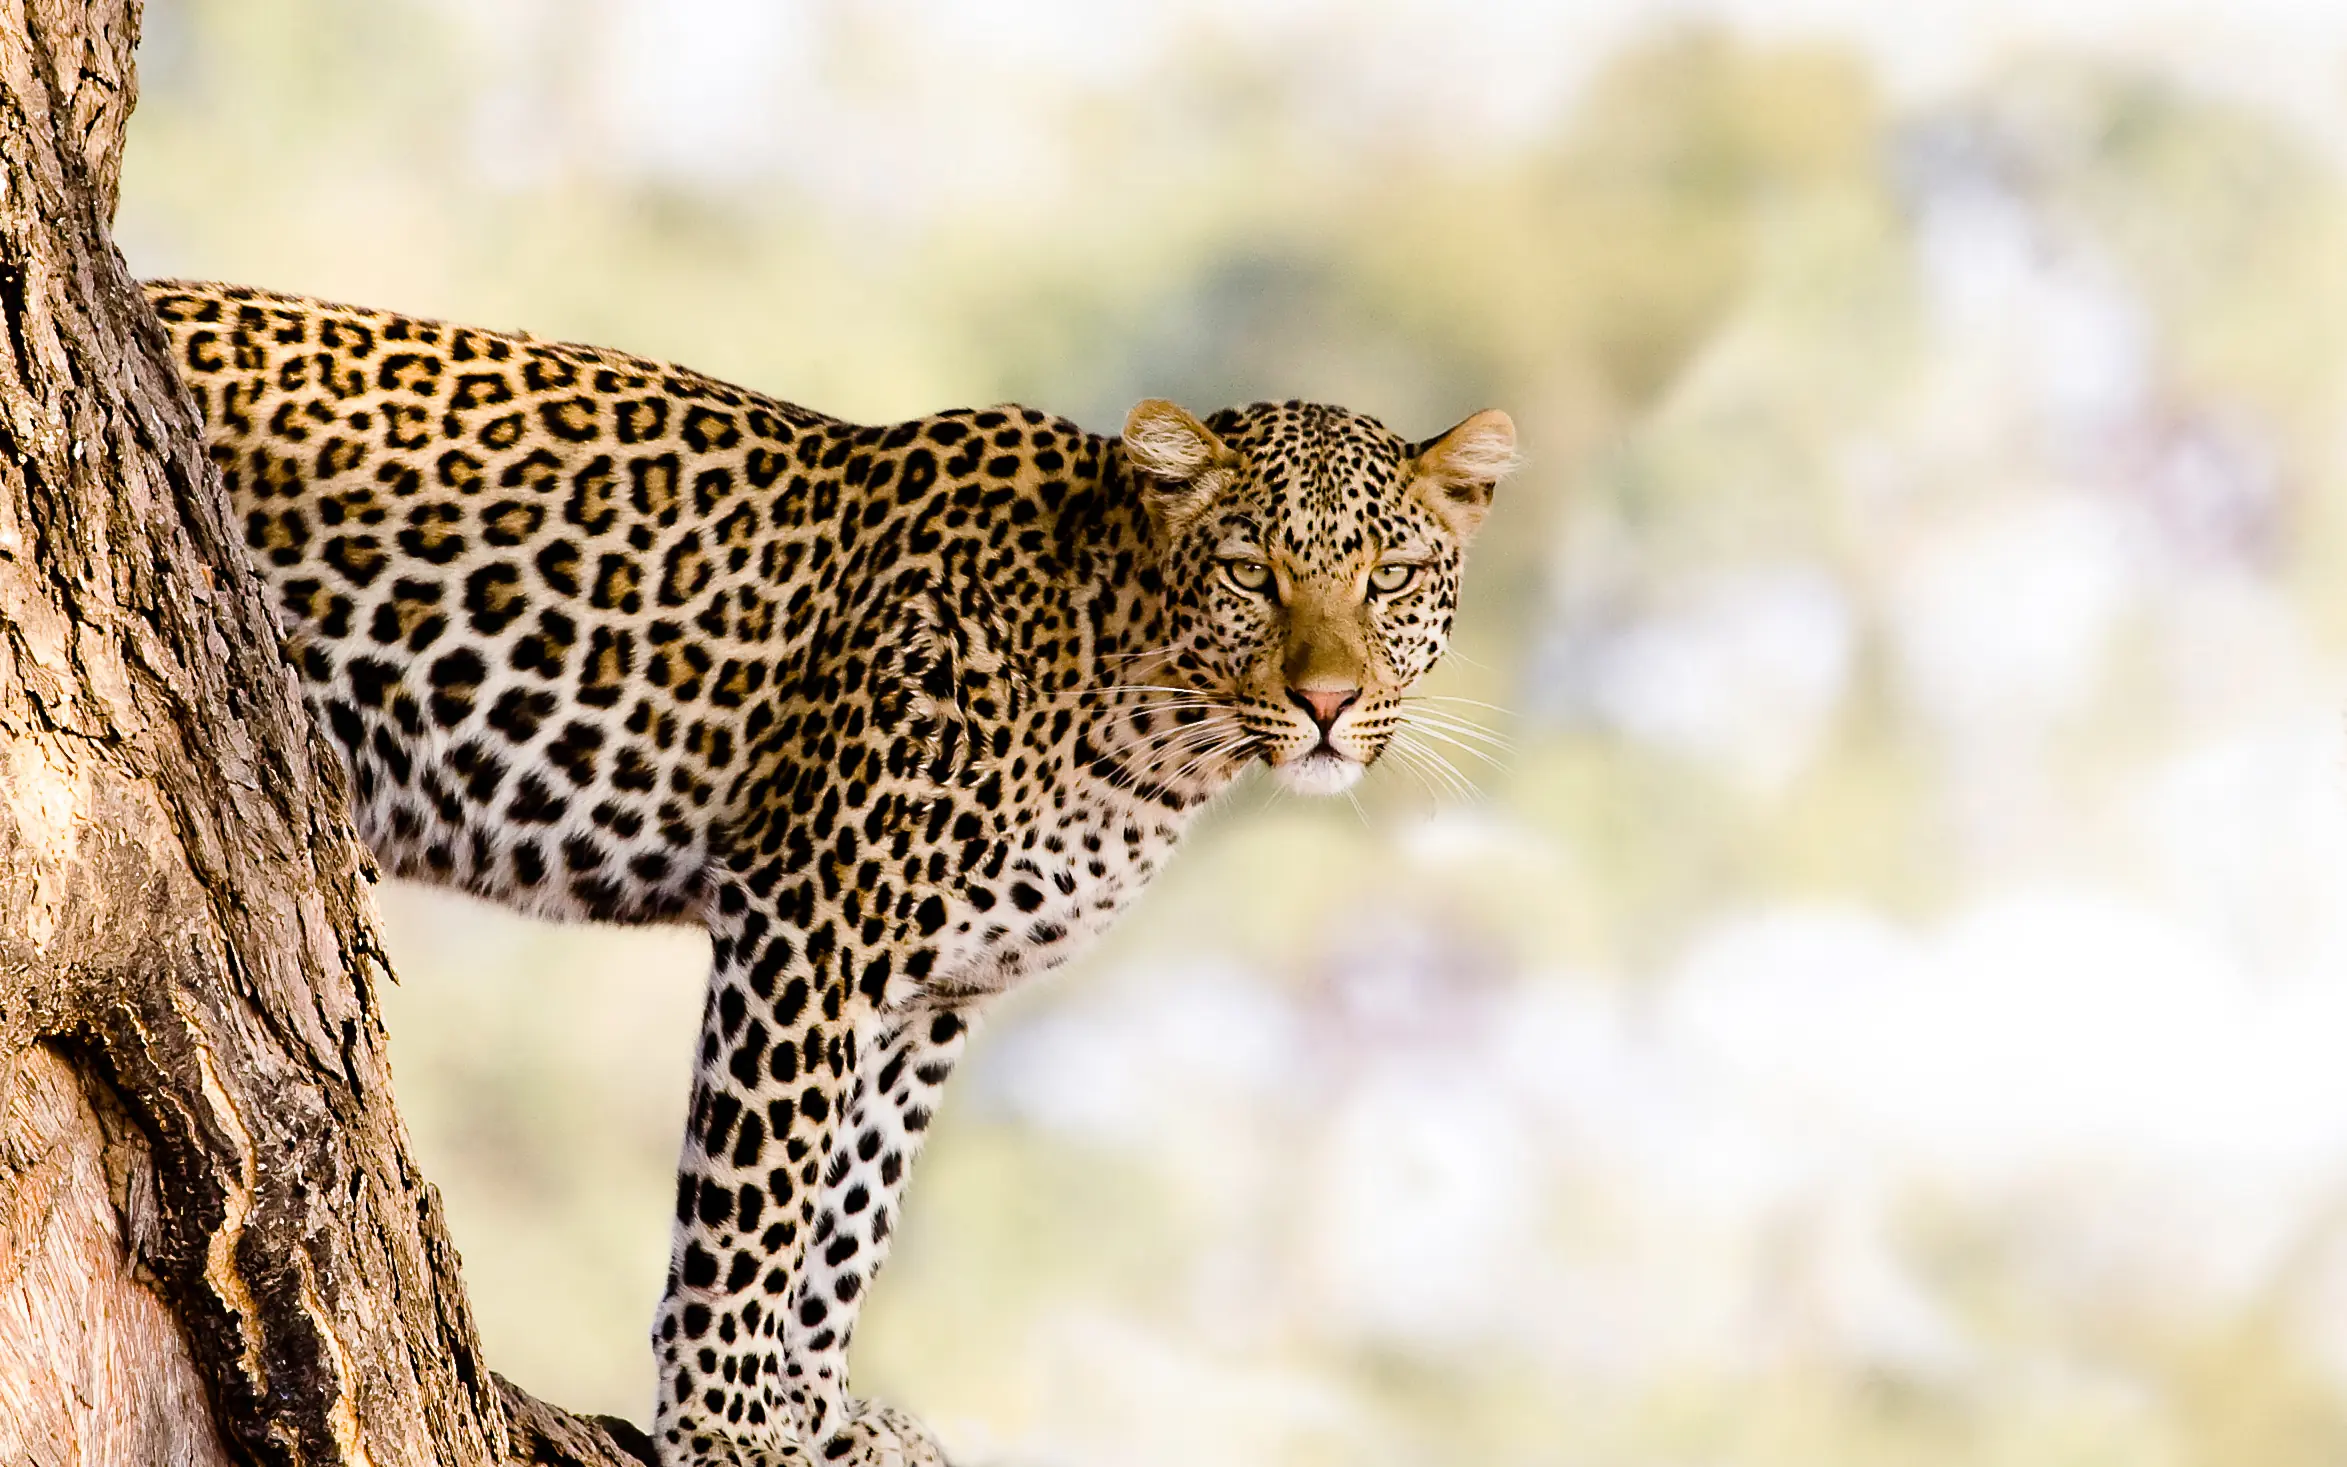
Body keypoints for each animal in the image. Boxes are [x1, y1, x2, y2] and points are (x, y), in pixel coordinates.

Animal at [145, 279, 1517, 1466]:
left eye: (1389, 578)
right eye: (1249, 574)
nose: (1328, 700)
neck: (1144, 727)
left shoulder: (930, 995)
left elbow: (852, 1212)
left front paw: (821, 1417)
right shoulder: (811, 921)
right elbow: (758, 1202)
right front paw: (728, 1428)